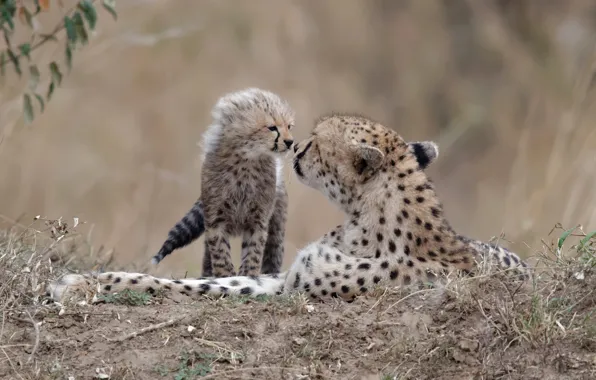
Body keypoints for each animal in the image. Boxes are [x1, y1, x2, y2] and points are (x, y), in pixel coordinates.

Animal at [47, 113, 532, 302]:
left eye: (316, 142)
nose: (295, 146)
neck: (363, 218)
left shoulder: (295, 288)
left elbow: (196, 288)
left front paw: (78, 284)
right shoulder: (285, 277)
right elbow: (208, 281)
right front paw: (86, 279)